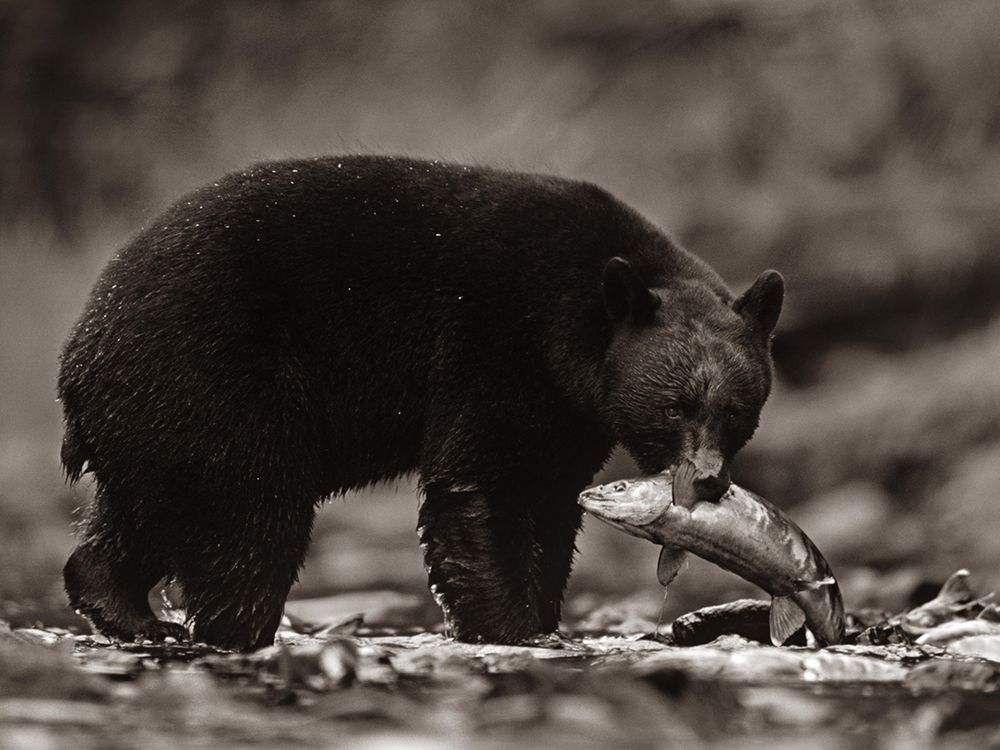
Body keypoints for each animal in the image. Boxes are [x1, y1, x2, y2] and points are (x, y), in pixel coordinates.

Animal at [58, 155, 783, 651]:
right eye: (675, 406)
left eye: (736, 410)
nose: (709, 481)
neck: (574, 325)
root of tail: (79, 351)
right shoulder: (495, 346)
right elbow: (481, 481)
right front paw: (510, 629)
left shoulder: (568, 414)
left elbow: (551, 502)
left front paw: (544, 620)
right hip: (215, 382)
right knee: (251, 515)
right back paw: (234, 630)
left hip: (155, 421)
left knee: (147, 511)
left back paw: (124, 608)